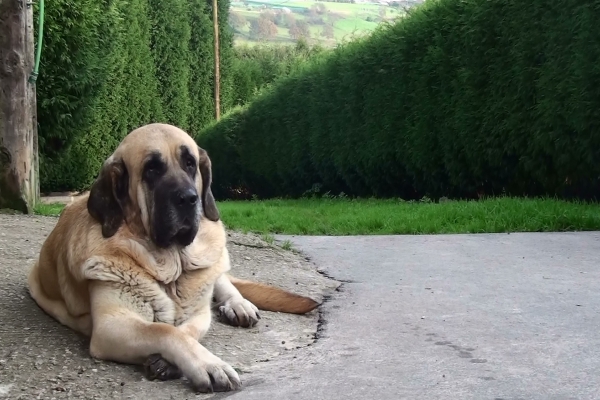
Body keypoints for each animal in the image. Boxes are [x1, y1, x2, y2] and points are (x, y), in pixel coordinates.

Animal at [27, 123, 322, 392]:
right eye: (152, 169)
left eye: (190, 164)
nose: (189, 199)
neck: (173, 266)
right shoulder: (110, 325)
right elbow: (163, 330)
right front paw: (208, 365)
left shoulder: (200, 312)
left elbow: (186, 329)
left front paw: (171, 361)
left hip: (215, 261)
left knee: (223, 281)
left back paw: (239, 305)